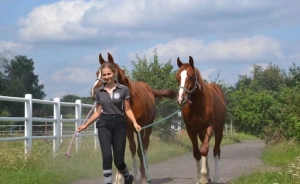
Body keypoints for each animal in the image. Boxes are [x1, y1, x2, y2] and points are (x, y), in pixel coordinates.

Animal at [91, 52, 176, 183]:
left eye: (108, 73)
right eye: (97, 73)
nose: (95, 92)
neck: (132, 101)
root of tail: (149, 89)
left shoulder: (140, 127)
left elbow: (140, 150)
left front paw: (143, 177)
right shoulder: (127, 129)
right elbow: (129, 149)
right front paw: (126, 176)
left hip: (148, 127)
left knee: (145, 145)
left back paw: (146, 170)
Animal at [175, 56, 226, 184]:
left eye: (191, 77)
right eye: (177, 78)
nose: (181, 99)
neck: (198, 105)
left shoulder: (209, 127)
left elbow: (204, 150)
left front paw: (203, 178)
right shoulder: (191, 130)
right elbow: (197, 152)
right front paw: (200, 177)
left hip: (219, 128)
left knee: (216, 150)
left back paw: (215, 177)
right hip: (201, 133)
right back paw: (208, 175)